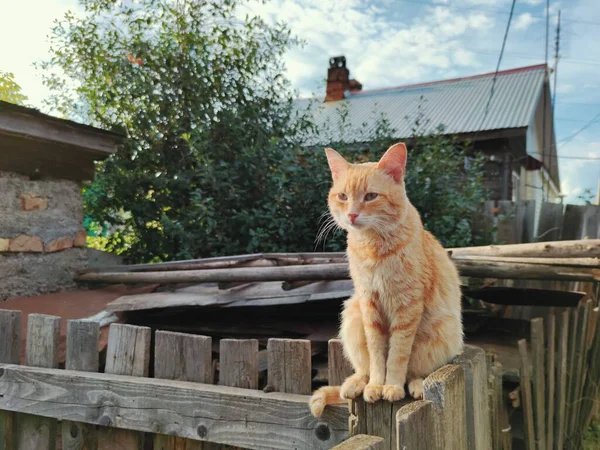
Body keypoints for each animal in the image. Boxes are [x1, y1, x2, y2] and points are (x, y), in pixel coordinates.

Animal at [310, 142, 464, 416]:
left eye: (371, 196)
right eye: (343, 196)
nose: (351, 215)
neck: (373, 246)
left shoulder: (407, 307)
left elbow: (398, 354)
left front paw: (391, 386)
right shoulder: (368, 303)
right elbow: (376, 354)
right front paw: (375, 385)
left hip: (442, 332)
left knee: (416, 371)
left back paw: (415, 385)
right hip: (352, 315)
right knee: (362, 367)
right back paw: (355, 384)